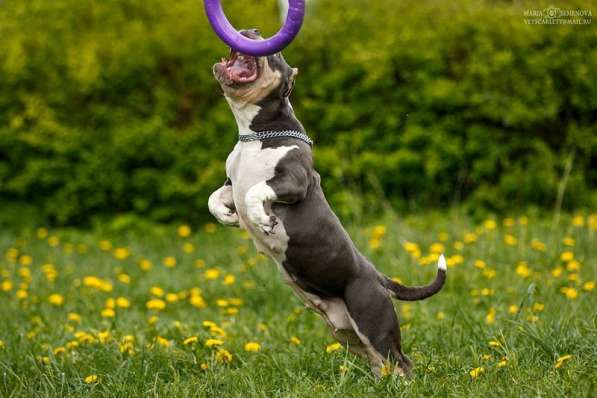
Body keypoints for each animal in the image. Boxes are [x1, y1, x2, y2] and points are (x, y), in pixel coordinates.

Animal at [207, 28, 444, 376]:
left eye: (273, 50)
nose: (250, 32)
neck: (255, 135)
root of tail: (378, 277)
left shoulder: (294, 181)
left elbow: (255, 192)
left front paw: (262, 220)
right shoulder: (231, 182)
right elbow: (214, 198)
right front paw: (229, 216)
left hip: (372, 319)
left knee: (401, 361)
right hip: (348, 334)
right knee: (380, 362)